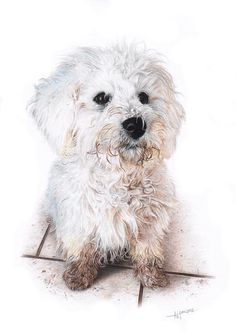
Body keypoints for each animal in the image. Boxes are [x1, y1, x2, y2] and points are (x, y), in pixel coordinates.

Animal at [29, 43, 184, 288]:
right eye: (101, 98)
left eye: (143, 97)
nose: (136, 124)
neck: (117, 174)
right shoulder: (79, 217)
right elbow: (82, 246)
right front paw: (79, 274)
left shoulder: (149, 221)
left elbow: (147, 248)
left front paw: (151, 275)